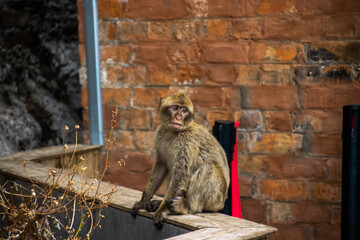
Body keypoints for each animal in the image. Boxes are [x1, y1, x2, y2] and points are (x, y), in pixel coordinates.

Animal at [131, 92, 229, 229]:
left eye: (184, 110)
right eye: (175, 108)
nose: (178, 117)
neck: (173, 132)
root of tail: (222, 203)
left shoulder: (186, 143)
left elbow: (181, 175)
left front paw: (162, 210)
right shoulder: (160, 135)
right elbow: (160, 167)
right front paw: (143, 201)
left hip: (216, 199)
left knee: (209, 165)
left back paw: (187, 206)